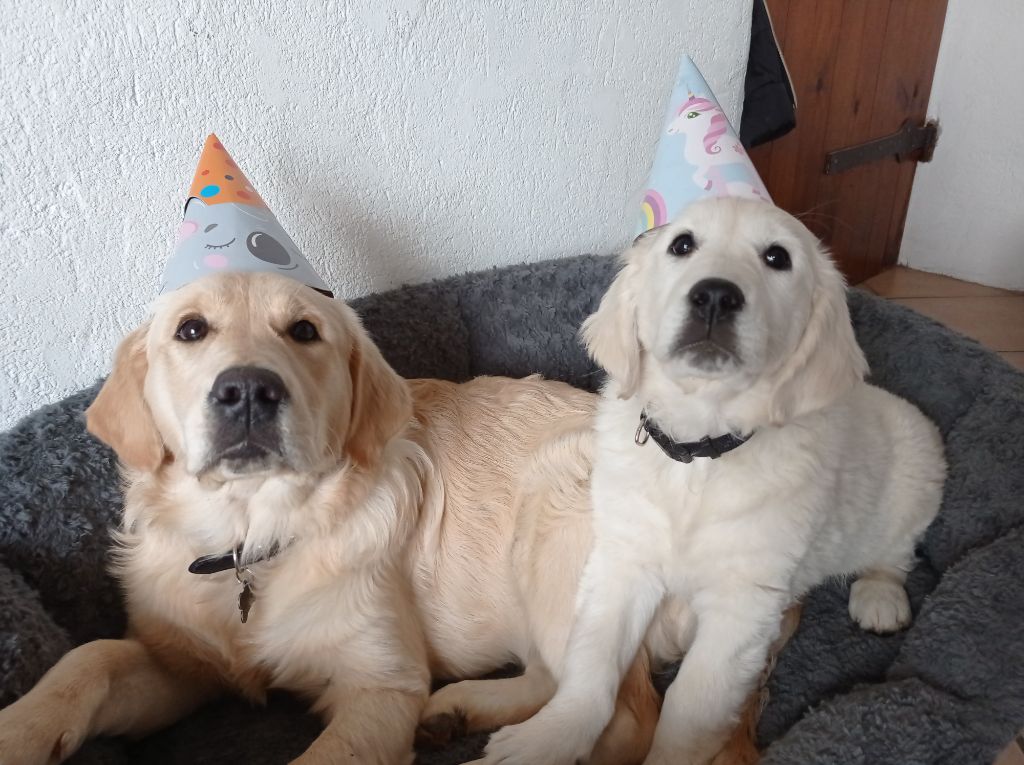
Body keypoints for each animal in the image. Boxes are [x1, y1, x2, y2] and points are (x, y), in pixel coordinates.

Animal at [0, 270, 782, 765]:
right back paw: (456, 710)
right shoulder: (182, 662)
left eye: (304, 330)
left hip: (558, 523)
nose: (248, 389)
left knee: (616, 718)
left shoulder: (381, 683)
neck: (254, 540)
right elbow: (91, 656)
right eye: (191, 330)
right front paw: (23, 729)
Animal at [475, 198, 946, 765]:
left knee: (896, 553)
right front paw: (548, 737)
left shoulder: (741, 605)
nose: (716, 295)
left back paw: (879, 598)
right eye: (682, 245)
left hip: (920, 463)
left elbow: (689, 706)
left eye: (777, 257)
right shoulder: (622, 560)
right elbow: (591, 663)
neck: (697, 454)